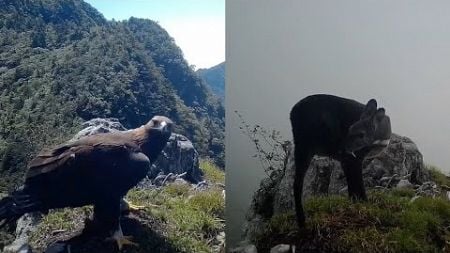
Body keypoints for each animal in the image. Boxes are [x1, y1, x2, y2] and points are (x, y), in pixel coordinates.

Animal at [292, 94, 390, 226]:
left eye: (361, 134)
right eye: (349, 128)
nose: (341, 149)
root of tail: (292, 113)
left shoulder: (347, 160)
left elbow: (352, 183)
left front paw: (354, 204)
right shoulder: (353, 158)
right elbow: (357, 182)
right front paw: (365, 204)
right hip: (304, 146)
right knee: (297, 183)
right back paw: (302, 221)